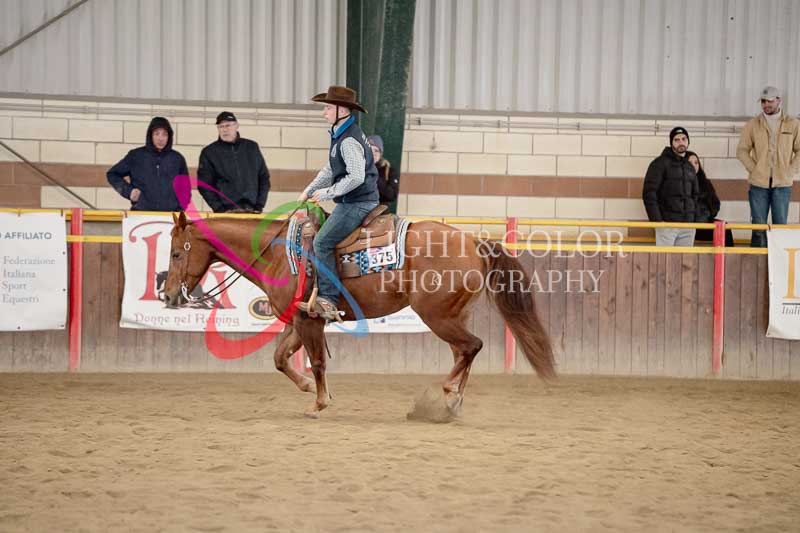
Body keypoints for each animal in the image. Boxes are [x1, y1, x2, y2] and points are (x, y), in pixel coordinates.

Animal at [163, 211, 555, 419]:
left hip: (438, 316)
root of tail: (473, 241)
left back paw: (448, 393)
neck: (277, 253)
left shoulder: (308, 321)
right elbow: (280, 358)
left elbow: (318, 362)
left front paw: (318, 402)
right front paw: (308, 388)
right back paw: (452, 401)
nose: (168, 294)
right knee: (464, 351)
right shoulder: (300, 320)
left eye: (177, 253)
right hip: (453, 315)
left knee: (471, 347)